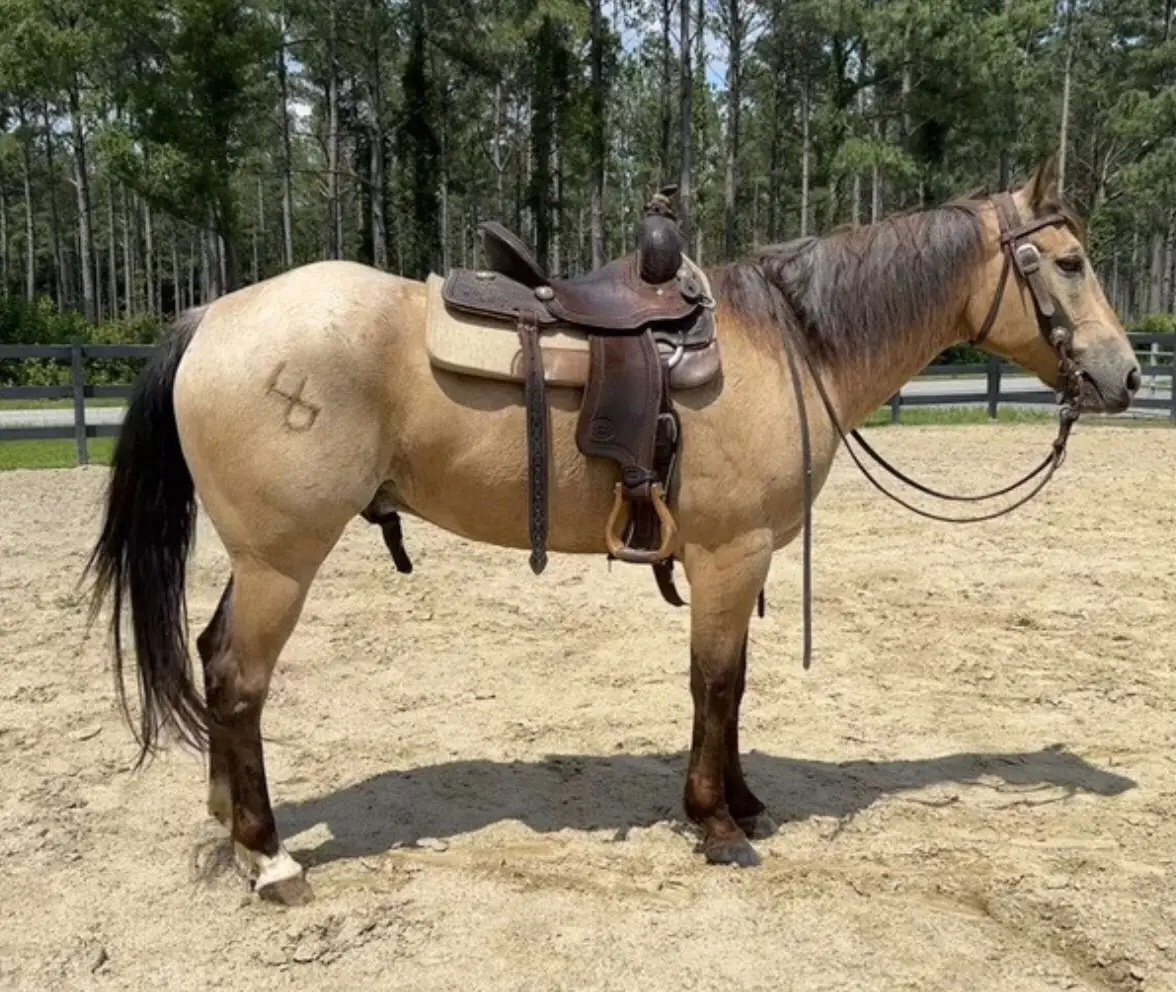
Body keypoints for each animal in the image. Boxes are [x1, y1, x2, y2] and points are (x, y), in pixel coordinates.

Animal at [85, 157, 1140, 906]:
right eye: (1071, 262)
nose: (1125, 375)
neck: (788, 344)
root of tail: (211, 315)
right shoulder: (727, 555)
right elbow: (716, 685)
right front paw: (717, 825)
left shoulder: (736, 562)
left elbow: (732, 688)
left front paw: (744, 802)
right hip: (282, 560)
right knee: (238, 680)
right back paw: (266, 857)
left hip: (261, 558)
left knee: (214, 660)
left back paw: (228, 817)